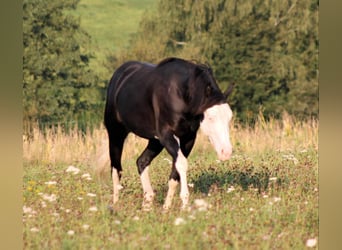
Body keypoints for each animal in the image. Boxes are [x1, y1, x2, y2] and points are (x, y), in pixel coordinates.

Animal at [103, 57, 232, 210]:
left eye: (229, 117)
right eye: (211, 117)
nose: (226, 152)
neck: (181, 94)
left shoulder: (188, 138)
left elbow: (175, 172)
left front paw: (166, 208)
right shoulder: (167, 136)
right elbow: (181, 164)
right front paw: (184, 204)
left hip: (155, 141)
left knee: (141, 161)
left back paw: (147, 203)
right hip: (116, 133)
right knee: (116, 169)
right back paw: (116, 205)